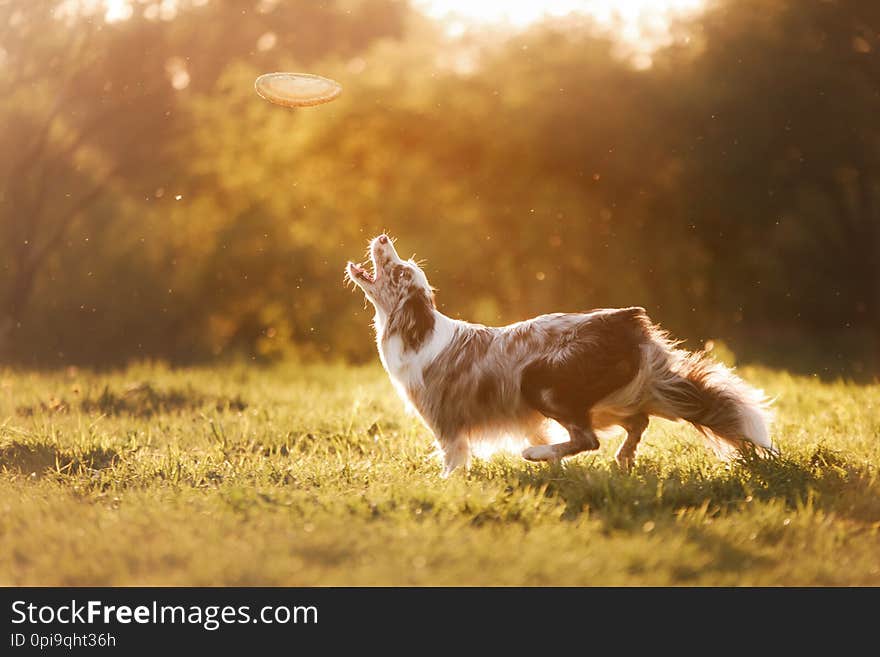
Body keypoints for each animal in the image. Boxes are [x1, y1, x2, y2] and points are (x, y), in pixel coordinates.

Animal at [348, 233, 772, 474]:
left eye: (402, 272)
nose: (382, 236)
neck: (416, 332)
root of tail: (627, 321)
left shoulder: (448, 425)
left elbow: (453, 461)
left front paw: (448, 483)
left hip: (541, 380)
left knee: (589, 438)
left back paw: (537, 454)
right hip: (611, 398)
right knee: (637, 421)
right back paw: (619, 458)